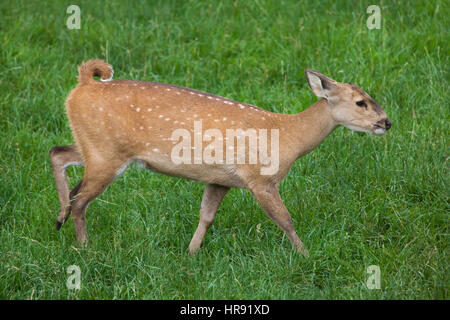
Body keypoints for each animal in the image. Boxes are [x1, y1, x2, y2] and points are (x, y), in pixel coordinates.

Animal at [50, 59, 390, 255]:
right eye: (361, 102)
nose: (386, 122)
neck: (288, 135)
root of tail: (83, 84)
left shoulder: (220, 179)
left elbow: (206, 215)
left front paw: (191, 253)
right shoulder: (261, 178)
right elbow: (285, 218)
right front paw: (305, 255)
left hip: (97, 147)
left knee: (58, 154)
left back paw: (59, 219)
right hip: (107, 153)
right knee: (80, 197)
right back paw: (84, 247)